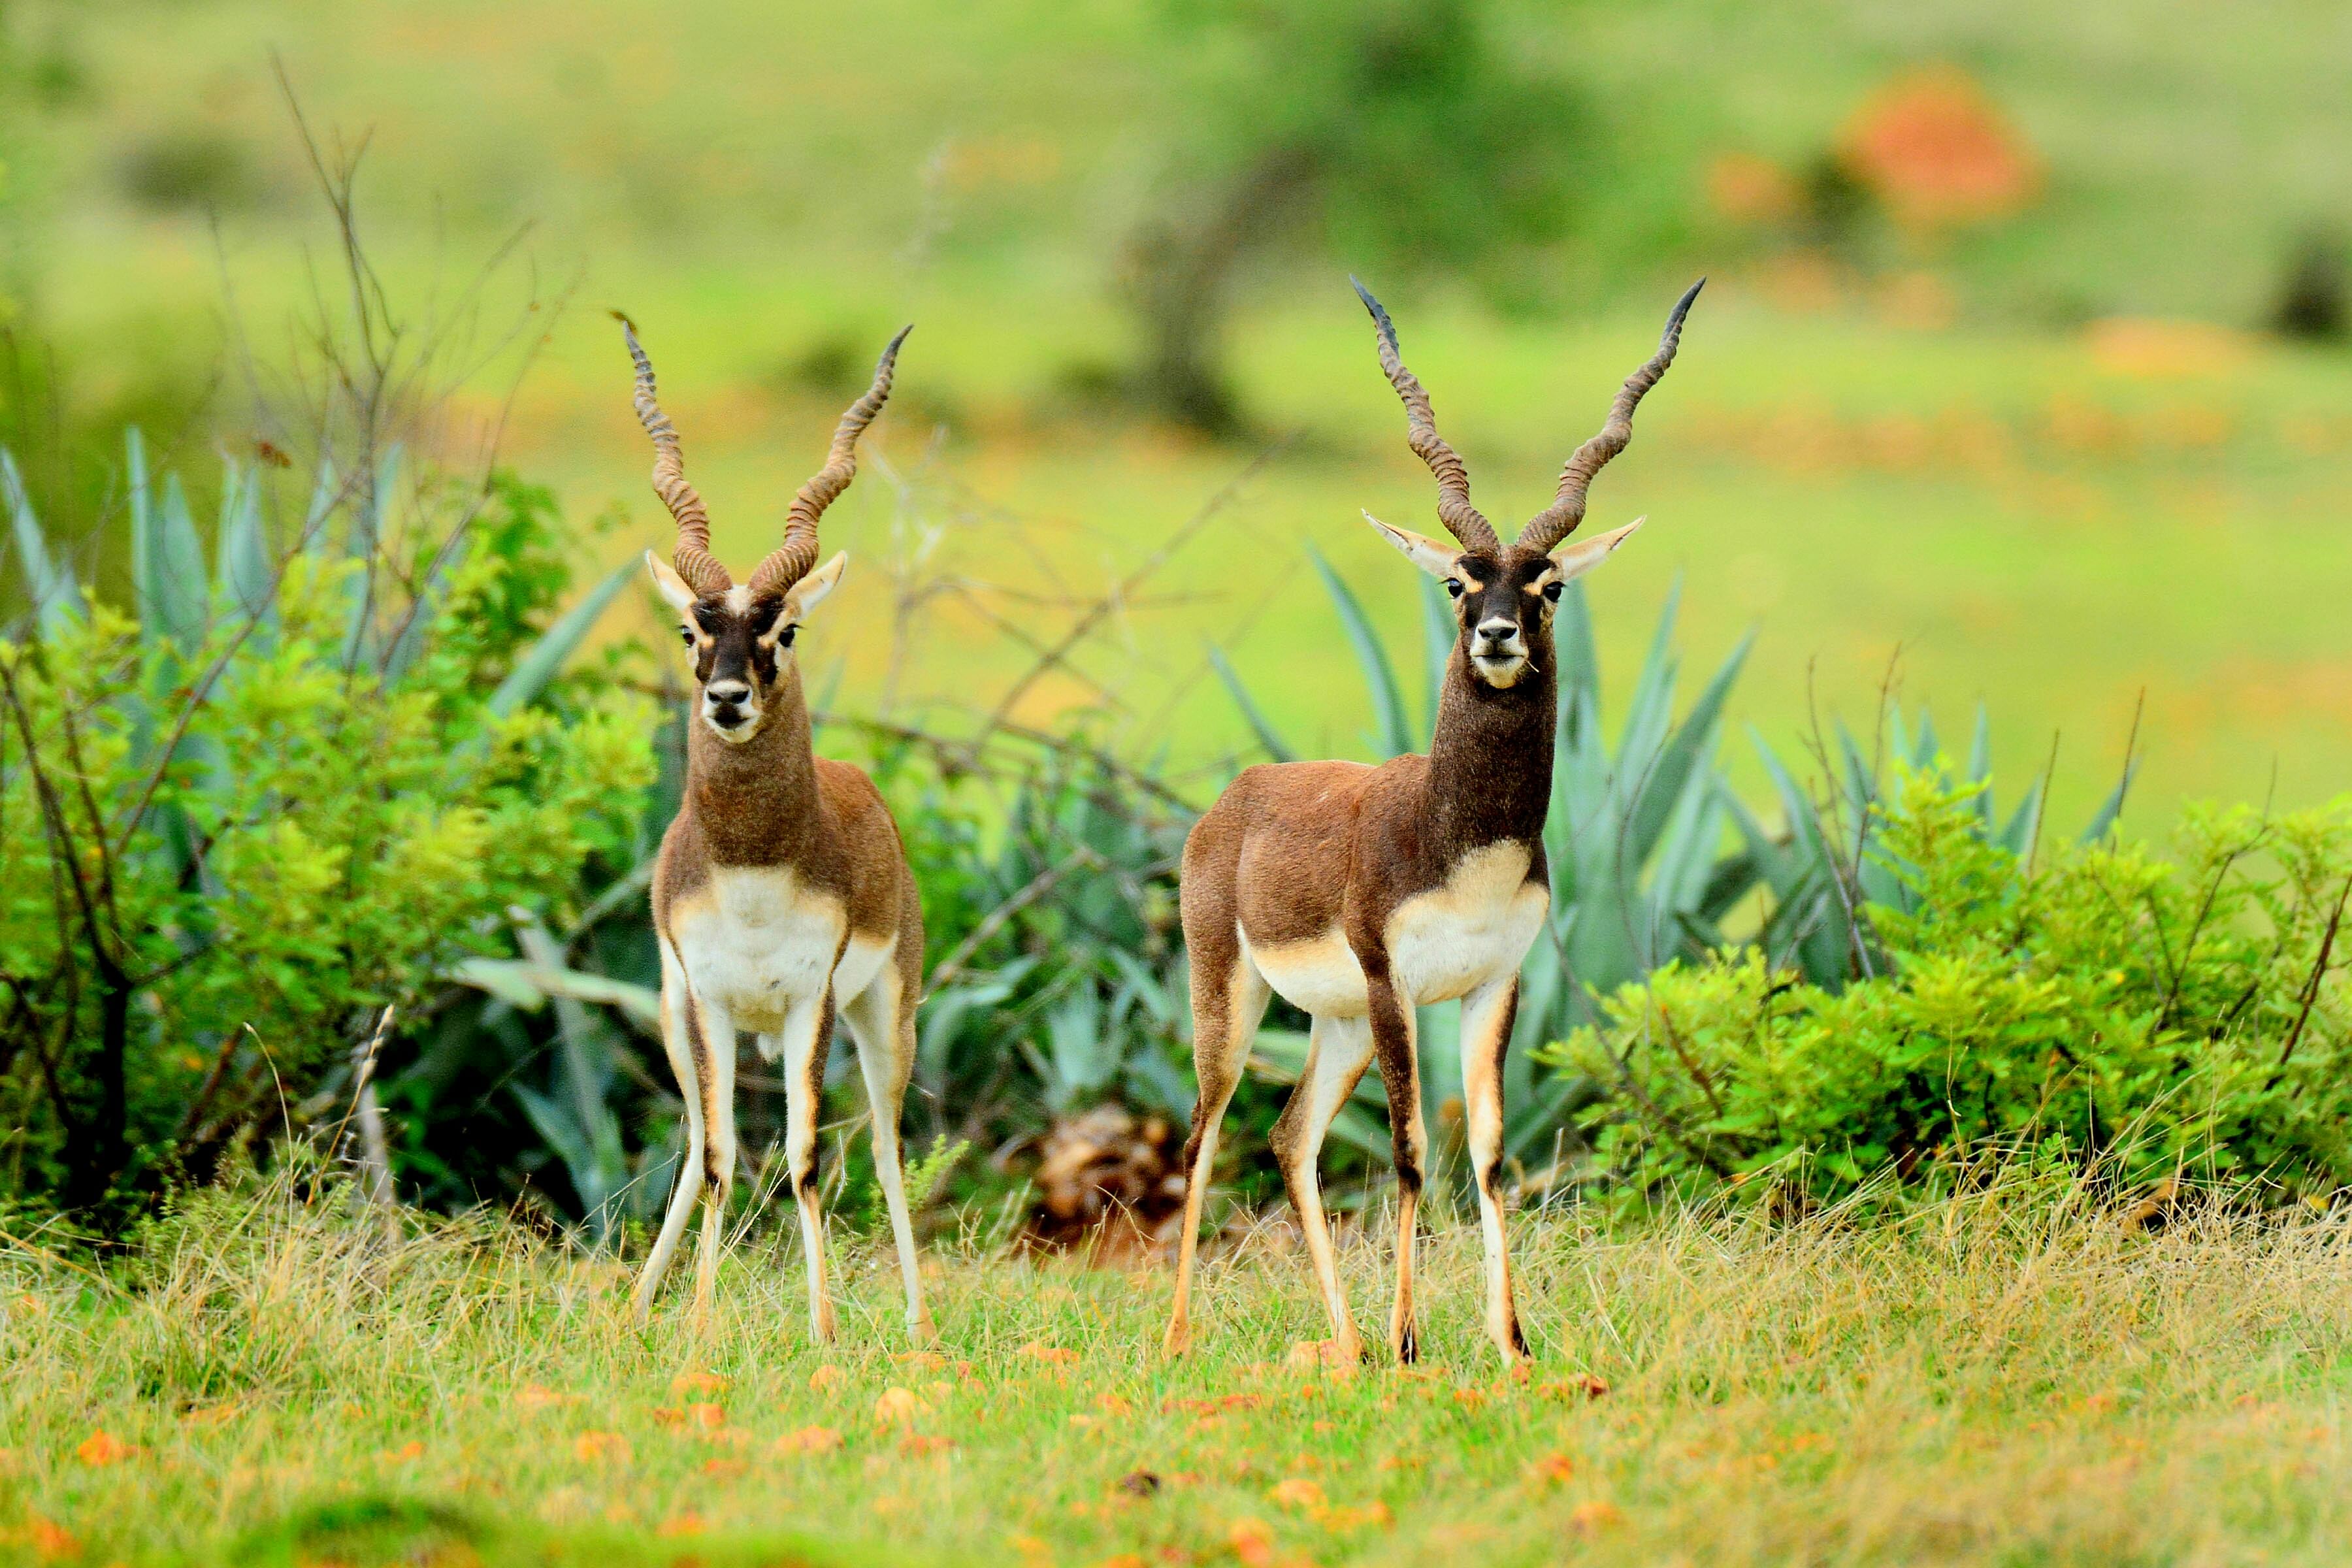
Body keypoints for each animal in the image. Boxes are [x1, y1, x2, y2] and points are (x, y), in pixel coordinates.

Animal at [621, 312, 931, 1345]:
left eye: (784, 629)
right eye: (691, 630)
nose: (726, 699)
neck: (754, 875)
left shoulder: (811, 1003)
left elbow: (801, 1159)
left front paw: (824, 1332)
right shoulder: (709, 998)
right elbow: (721, 1159)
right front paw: (696, 1326)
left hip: (888, 1015)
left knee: (885, 1144)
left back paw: (917, 1323)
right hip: (672, 1016)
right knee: (694, 1142)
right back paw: (633, 1309)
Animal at [1162, 272, 1703, 1363]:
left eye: (1547, 585)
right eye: (1458, 581)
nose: (1496, 635)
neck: (1458, 845)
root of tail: (1237, 798)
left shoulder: (1496, 983)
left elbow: (1487, 1156)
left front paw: (1512, 1347)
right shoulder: (1395, 984)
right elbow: (1414, 1152)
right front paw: (1413, 1345)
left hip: (1335, 1021)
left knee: (1290, 1137)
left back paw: (1346, 1346)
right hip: (1238, 993)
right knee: (1204, 1134)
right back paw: (1184, 1339)